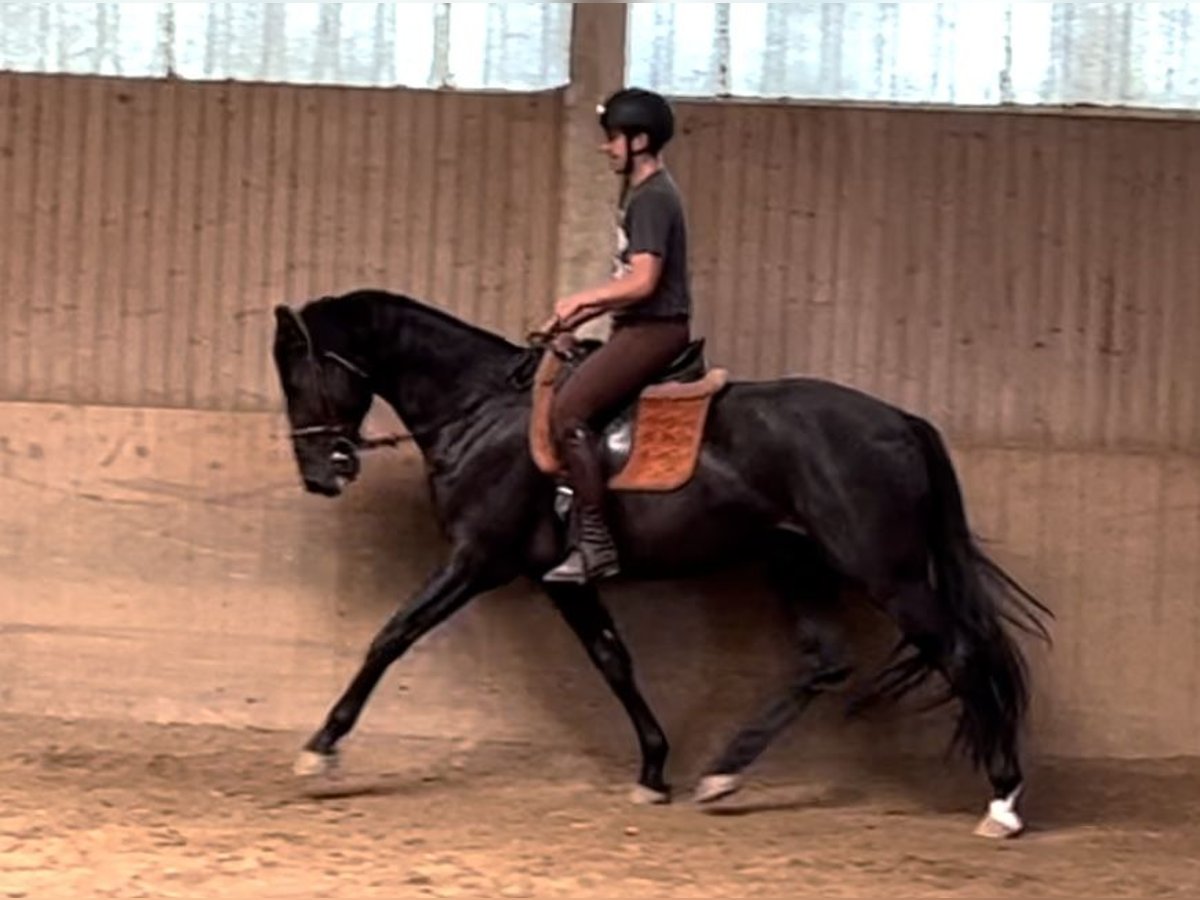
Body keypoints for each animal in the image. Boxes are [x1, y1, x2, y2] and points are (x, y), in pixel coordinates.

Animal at [270, 286, 1051, 840]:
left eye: (301, 372)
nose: (322, 475)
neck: (481, 410)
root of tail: (901, 422)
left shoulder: (478, 559)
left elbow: (391, 636)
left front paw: (322, 748)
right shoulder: (561, 582)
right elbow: (614, 661)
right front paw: (653, 769)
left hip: (885, 571)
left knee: (959, 652)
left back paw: (1004, 802)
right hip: (797, 559)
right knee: (827, 660)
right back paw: (724, 774)